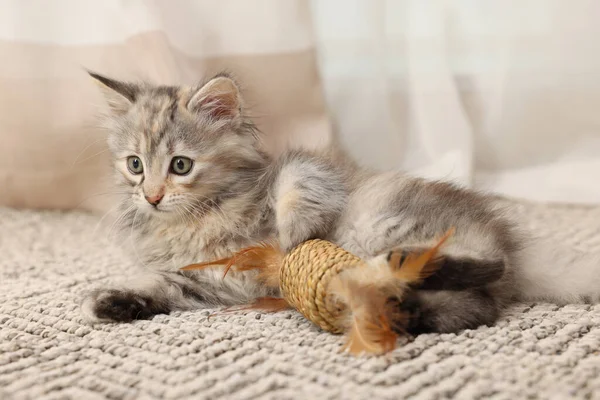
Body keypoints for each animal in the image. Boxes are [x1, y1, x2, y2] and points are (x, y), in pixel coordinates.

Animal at [81, 70, 600, 332]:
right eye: (134, 165)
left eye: (181, 165)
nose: (151, 196)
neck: (197, 219)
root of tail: (511, 240)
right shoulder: (206, 281)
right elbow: (158, 286)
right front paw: (111, 304)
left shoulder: (307, 167)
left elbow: (297, 193)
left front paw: (291, 238)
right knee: (474, 306)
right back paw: (406, 305)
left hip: (387, 219)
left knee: (487, 270)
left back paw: (405, 269)